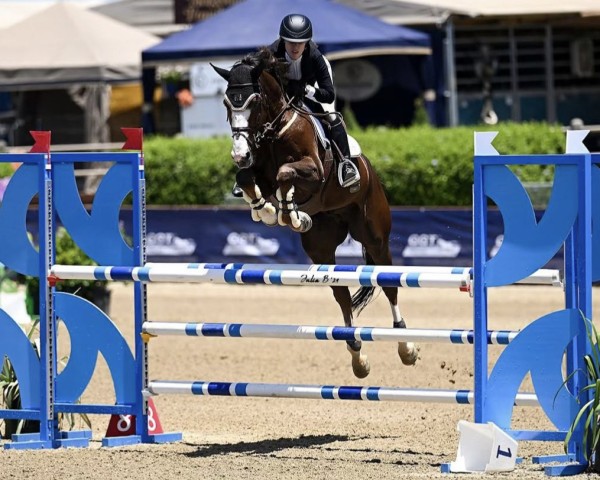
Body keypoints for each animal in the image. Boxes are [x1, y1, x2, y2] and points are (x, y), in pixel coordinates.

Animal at [214, 48, 418, 378]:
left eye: (253, 102)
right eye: (227, 103)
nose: (239, 154)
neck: (275, 131)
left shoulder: (314, 171)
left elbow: (285, 173)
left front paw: (288, 213)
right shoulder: (257, 172)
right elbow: (247, 178)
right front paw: (267, 210)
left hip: (374, 235)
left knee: (388, 283)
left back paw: (406, 346)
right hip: (322, 248)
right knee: (341, 293)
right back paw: (357, 356)